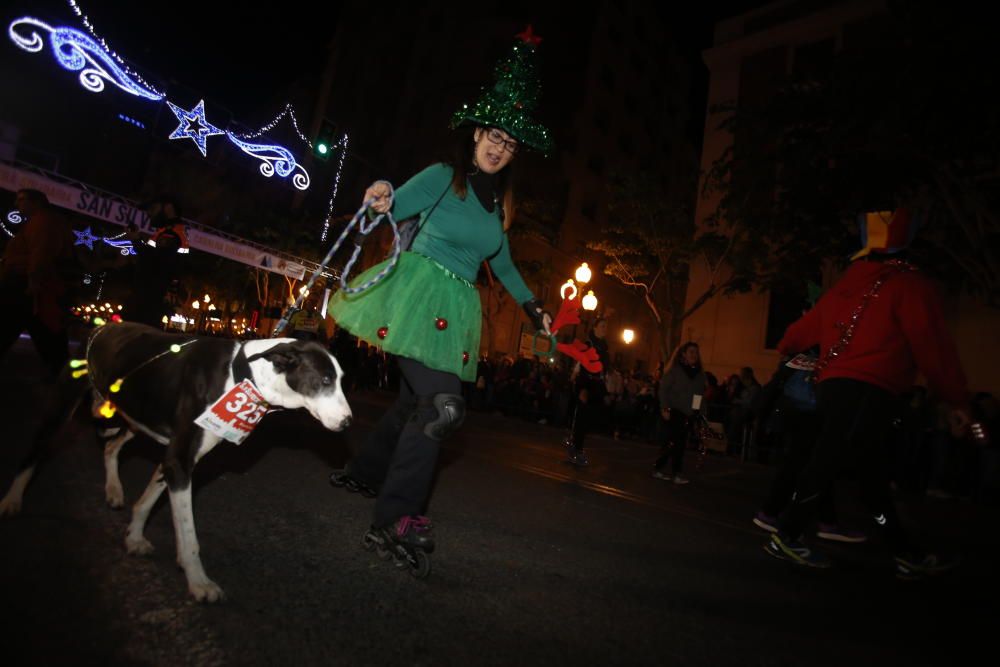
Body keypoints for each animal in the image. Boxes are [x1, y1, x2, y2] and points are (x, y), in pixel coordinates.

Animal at [0, 324, 352, 604]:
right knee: (34, 455)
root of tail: (100, 326)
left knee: (112, 446)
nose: (349, 422)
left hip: (134, 416)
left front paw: (135, 537)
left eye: (340, 380)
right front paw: (199, 582)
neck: (242, 375)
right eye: (324, 380)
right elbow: (189, 532)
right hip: (62, 406)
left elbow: (147, 502)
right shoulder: (179, 461)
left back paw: (114, 489)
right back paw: (12, 500)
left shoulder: (175, 460)